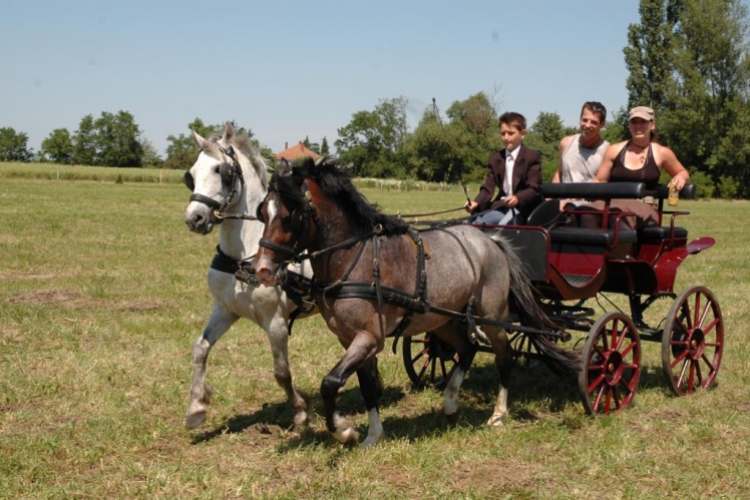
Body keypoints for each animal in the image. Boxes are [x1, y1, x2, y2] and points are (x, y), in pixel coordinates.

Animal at [185, 122, 314, 430]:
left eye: (221, 171)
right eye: (191, 174)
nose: (194, 218)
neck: (243, 256)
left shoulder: (276, 321)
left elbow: (281, 372)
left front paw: (300, 410)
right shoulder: (225, 309)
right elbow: (200, 348)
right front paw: (196, 406)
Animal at [256, 160, 580, 446]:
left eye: (290, 215)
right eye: (263, 213)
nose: (262, 269)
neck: (355, 258)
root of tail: (492, 242)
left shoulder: (369, 338)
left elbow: (331, 382)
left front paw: (344, 431)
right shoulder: (352, 340)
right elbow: (367, 388)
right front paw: (373, 435)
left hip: (493, 317)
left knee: (504, 356)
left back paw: (499, 413)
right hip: (445, 320)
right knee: (467, 349)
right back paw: (450, 402)